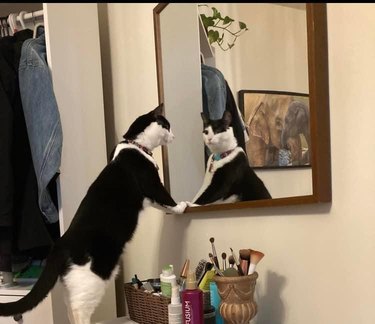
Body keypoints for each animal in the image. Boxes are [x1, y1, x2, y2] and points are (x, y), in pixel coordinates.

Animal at [0, 105, 188, 322]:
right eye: (167, 125)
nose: (174, 135)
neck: (135, 145)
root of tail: (60, 244)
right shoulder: (152, 184)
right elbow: (167, 199)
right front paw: (183, 205)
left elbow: (161, 205)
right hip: (93, 277)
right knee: (79, 310)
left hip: (70, 285)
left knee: (70, 308)